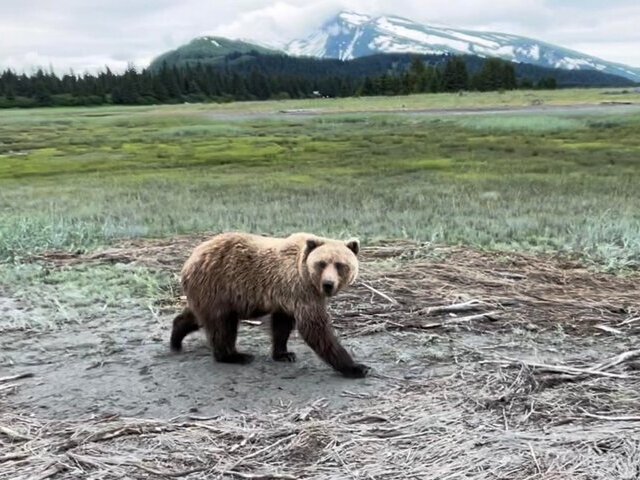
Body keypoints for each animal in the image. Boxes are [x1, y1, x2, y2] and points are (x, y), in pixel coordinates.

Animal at [170, 232, 370, 378]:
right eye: (321, 263)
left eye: (340, 264)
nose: (328, 284)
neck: (305, 274)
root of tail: (189, 261)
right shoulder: (300, 290)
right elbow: (315, 328)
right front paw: (357, 367)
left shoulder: (287, 298)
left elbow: (282, 326)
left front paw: (284, 354)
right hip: (218, 285)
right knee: (222, 325)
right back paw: (234, 356)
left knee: (197, 316)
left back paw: (176, 339)